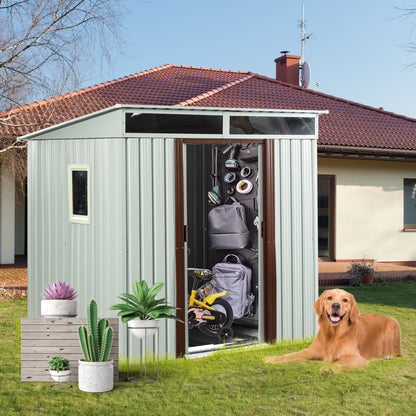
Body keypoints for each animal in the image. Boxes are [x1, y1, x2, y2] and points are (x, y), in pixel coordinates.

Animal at [264, 288, 402, 372]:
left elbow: (337, 362)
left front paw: (328, 368)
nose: (336, 305)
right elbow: (291, 354)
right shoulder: (310, 351)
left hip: (393, 324)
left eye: (345, 300)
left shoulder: (356, 358)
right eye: (329, 298)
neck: (333, 334)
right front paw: (272, 358)